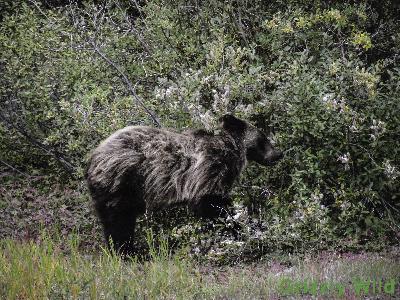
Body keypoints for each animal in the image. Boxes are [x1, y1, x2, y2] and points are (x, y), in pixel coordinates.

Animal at [86, 115, 282, 255]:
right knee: (118, 219)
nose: (278, 154)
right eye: (263, 139)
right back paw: (125, 250)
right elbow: (213, 204)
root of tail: (93, 157)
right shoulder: (209, 169)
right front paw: (238, 231)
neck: (232, 150)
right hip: (122, 180)